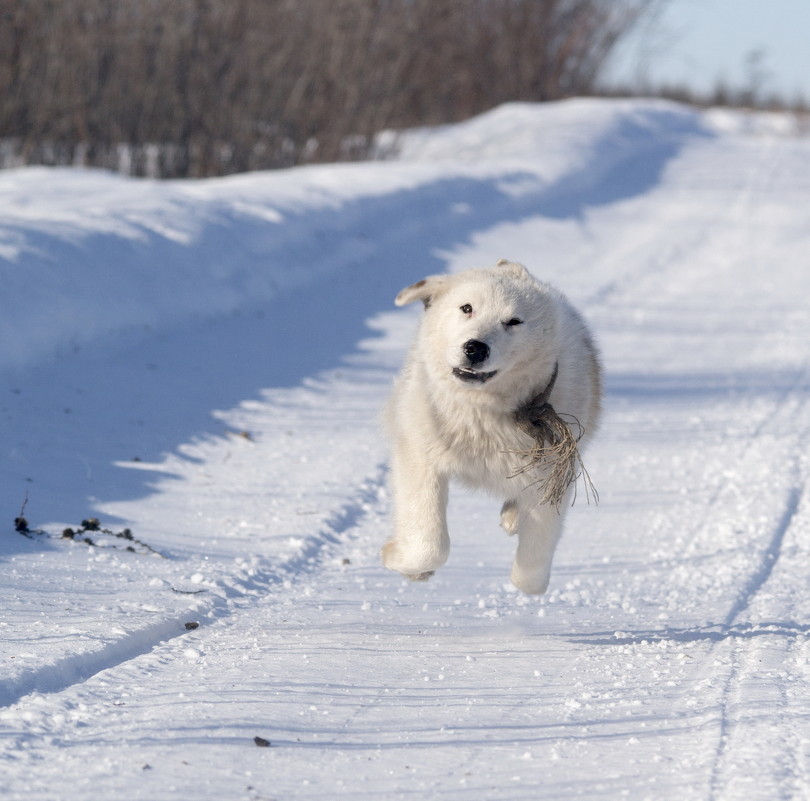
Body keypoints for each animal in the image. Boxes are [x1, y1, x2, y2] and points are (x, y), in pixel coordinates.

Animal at [380, 260, 600, 592]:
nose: (475, 348)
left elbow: (530, 576)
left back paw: (512, 517)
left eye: (513, 321)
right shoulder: (419, 454)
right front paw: (400, 560)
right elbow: (430, 545)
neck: (482, 412)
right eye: (467, 308)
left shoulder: (554, 472)